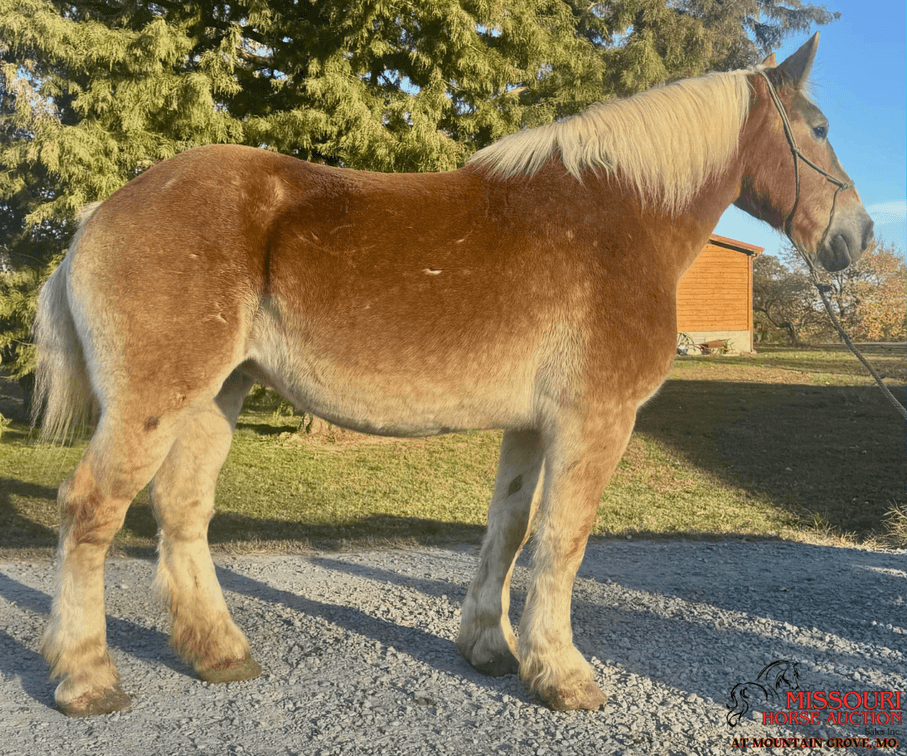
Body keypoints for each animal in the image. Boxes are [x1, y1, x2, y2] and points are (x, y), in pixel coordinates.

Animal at [32, 33, 872, 717]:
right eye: (819, 129)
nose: (857, 235)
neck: (617, 216)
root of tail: (100, 214)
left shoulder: (531, 427)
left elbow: (510, 530)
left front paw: (489, 648)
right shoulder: (595, 421)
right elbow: (562, 541)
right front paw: (561, 675)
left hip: (215, 396)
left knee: (182, 510)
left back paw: (219, 654)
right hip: (153, 403)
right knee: (90, 509)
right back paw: (86, 680)